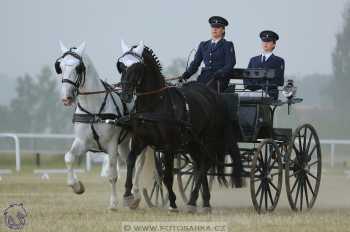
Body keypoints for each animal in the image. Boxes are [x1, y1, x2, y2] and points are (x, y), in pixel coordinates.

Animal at [55, 41, 145, 210]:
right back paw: (130, 196)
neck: (94, 109)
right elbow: (69, 157)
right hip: (124, 142)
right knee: (130, 161)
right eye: (60, 67)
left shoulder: (111, 144)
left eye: (78, 68)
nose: (66, 98)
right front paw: (77, 186)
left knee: (138, 163)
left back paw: (136, 195)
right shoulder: (82, 141)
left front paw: (113, 203)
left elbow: (112, 175)